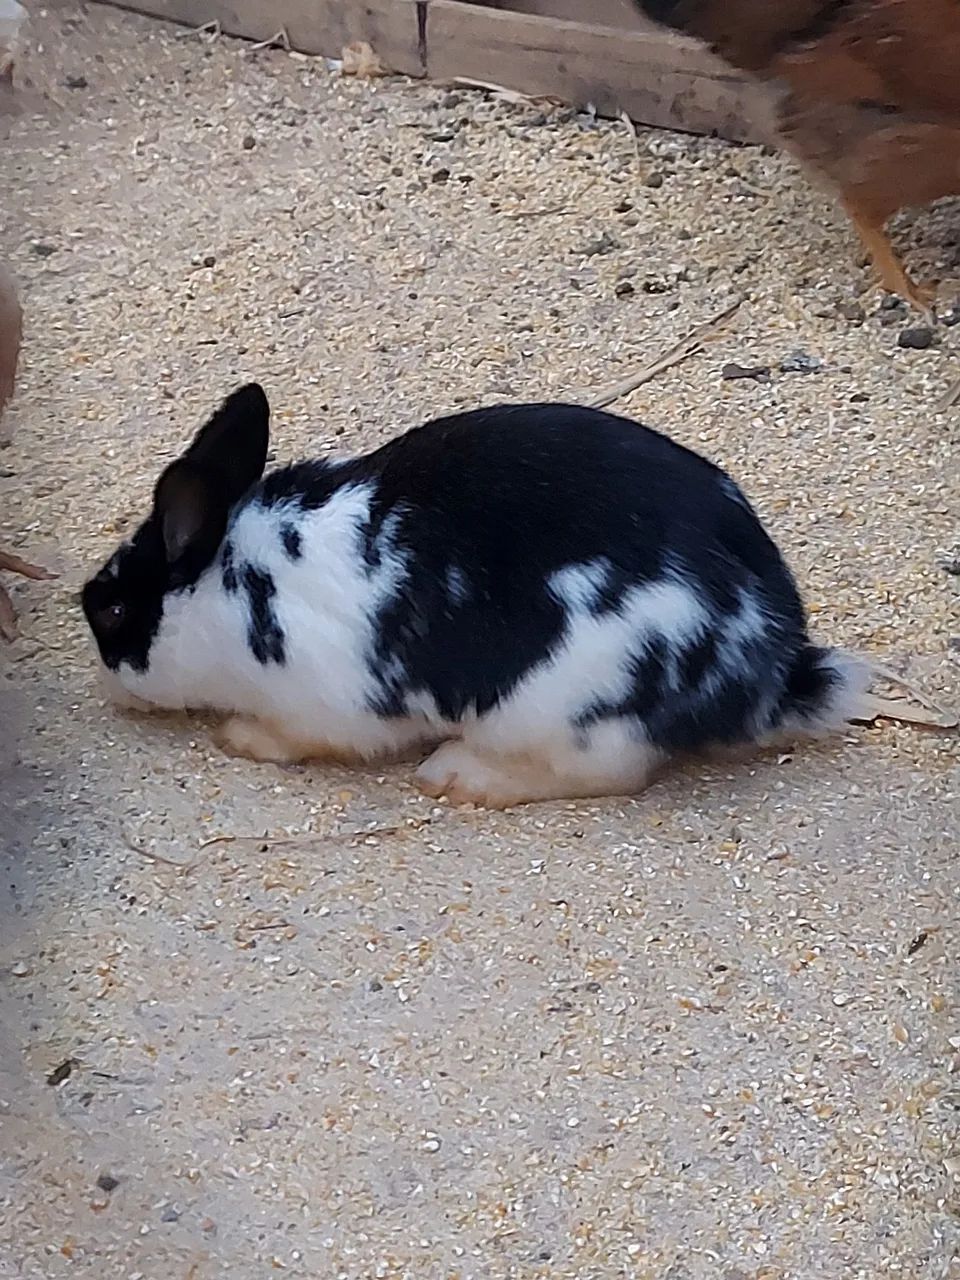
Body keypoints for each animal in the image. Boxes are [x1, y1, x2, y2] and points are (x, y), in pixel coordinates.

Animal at [81, 383, 870, 808]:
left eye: (113, 610)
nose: (106, 686)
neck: (226, 581)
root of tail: (768, 676)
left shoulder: (324, 701)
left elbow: (299, 734)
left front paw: (238, 738)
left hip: (563, 713)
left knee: (608, 773)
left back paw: (460, 777)